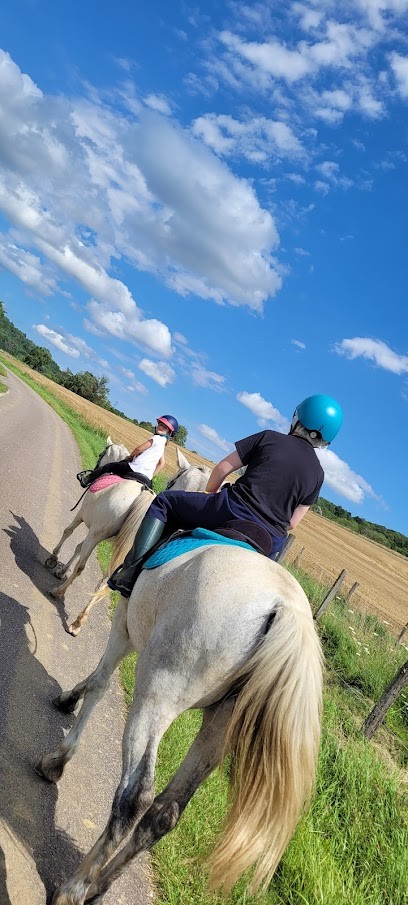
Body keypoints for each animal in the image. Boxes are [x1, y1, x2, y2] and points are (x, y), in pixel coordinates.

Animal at [36, 533, 323, 905]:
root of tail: (283, 606)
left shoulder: (125, 621)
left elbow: (101, 681)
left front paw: (58, 759)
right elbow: (98, 676)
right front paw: (69, 697)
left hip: (158, 690)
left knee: (135, 796)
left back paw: (73, 889)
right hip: (220, 725)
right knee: (164, 813)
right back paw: (98, 888)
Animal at [45, 439, 212, 635]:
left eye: (102, 454)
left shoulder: (85, 519)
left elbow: (68, 532)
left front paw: (53, 559)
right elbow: (79, 546)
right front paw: (62, 571)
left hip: (97, 533)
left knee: (82, 567)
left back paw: (58, 592)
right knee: (105, 580)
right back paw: (78, 622)